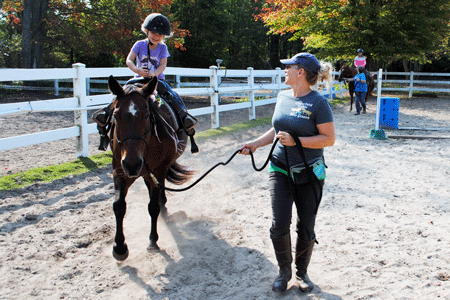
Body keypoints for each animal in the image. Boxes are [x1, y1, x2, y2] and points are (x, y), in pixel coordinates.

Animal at [109, 75, 193, 260]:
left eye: (147, 115)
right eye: (116, 115)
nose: (132, 164)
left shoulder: (158, 170)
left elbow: (153, 207)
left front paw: (153, 240)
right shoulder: (120, 170)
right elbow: (119, 206)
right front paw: (120, 247)